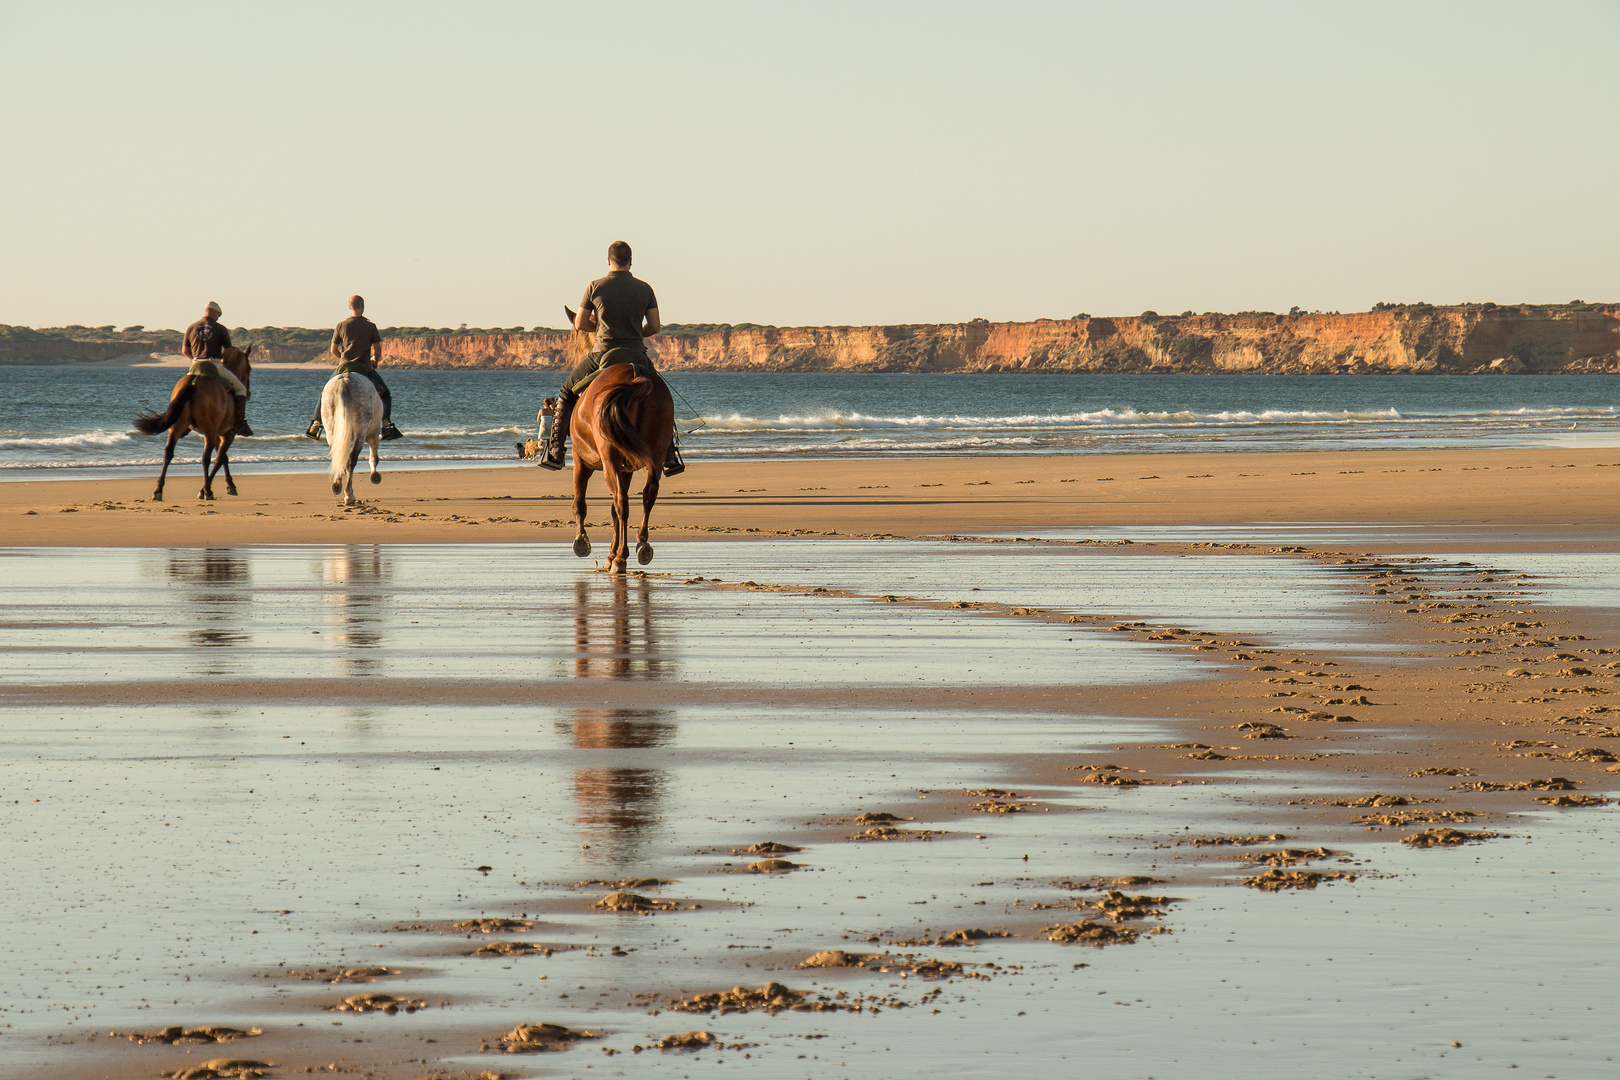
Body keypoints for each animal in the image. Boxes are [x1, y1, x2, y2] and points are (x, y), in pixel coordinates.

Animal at [132, 346, 252, 501]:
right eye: (249, 368)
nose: (248, 393)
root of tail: (194, 382)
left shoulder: (218, 434)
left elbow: (223, 458)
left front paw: (229, 485)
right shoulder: (227, 434)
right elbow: (220, 458)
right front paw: (211, 488)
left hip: (177, 428)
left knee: (168, 453)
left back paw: (158, 490)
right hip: (209, 432)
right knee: (205, 458)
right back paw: (207, 491)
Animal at [324, 374, 383, 505]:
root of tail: (345, 379)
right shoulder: (373, 432)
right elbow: (373, 453)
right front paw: (374, 475)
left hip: (330, 429)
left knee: (338, 456)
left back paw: (337, 486)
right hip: (361, 431)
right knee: (352, 459)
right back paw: (349, 494)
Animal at [570, 361, 677, 573]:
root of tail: (637, 375)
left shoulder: (580, 462)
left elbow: (580, 503)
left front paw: (582, 541)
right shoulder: (626, 470)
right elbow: (613, 512)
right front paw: (610, 553)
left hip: (609, 458)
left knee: (621, 501)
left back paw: (621, 557)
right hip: (656, 454)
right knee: (649, 494)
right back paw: (641, 544)